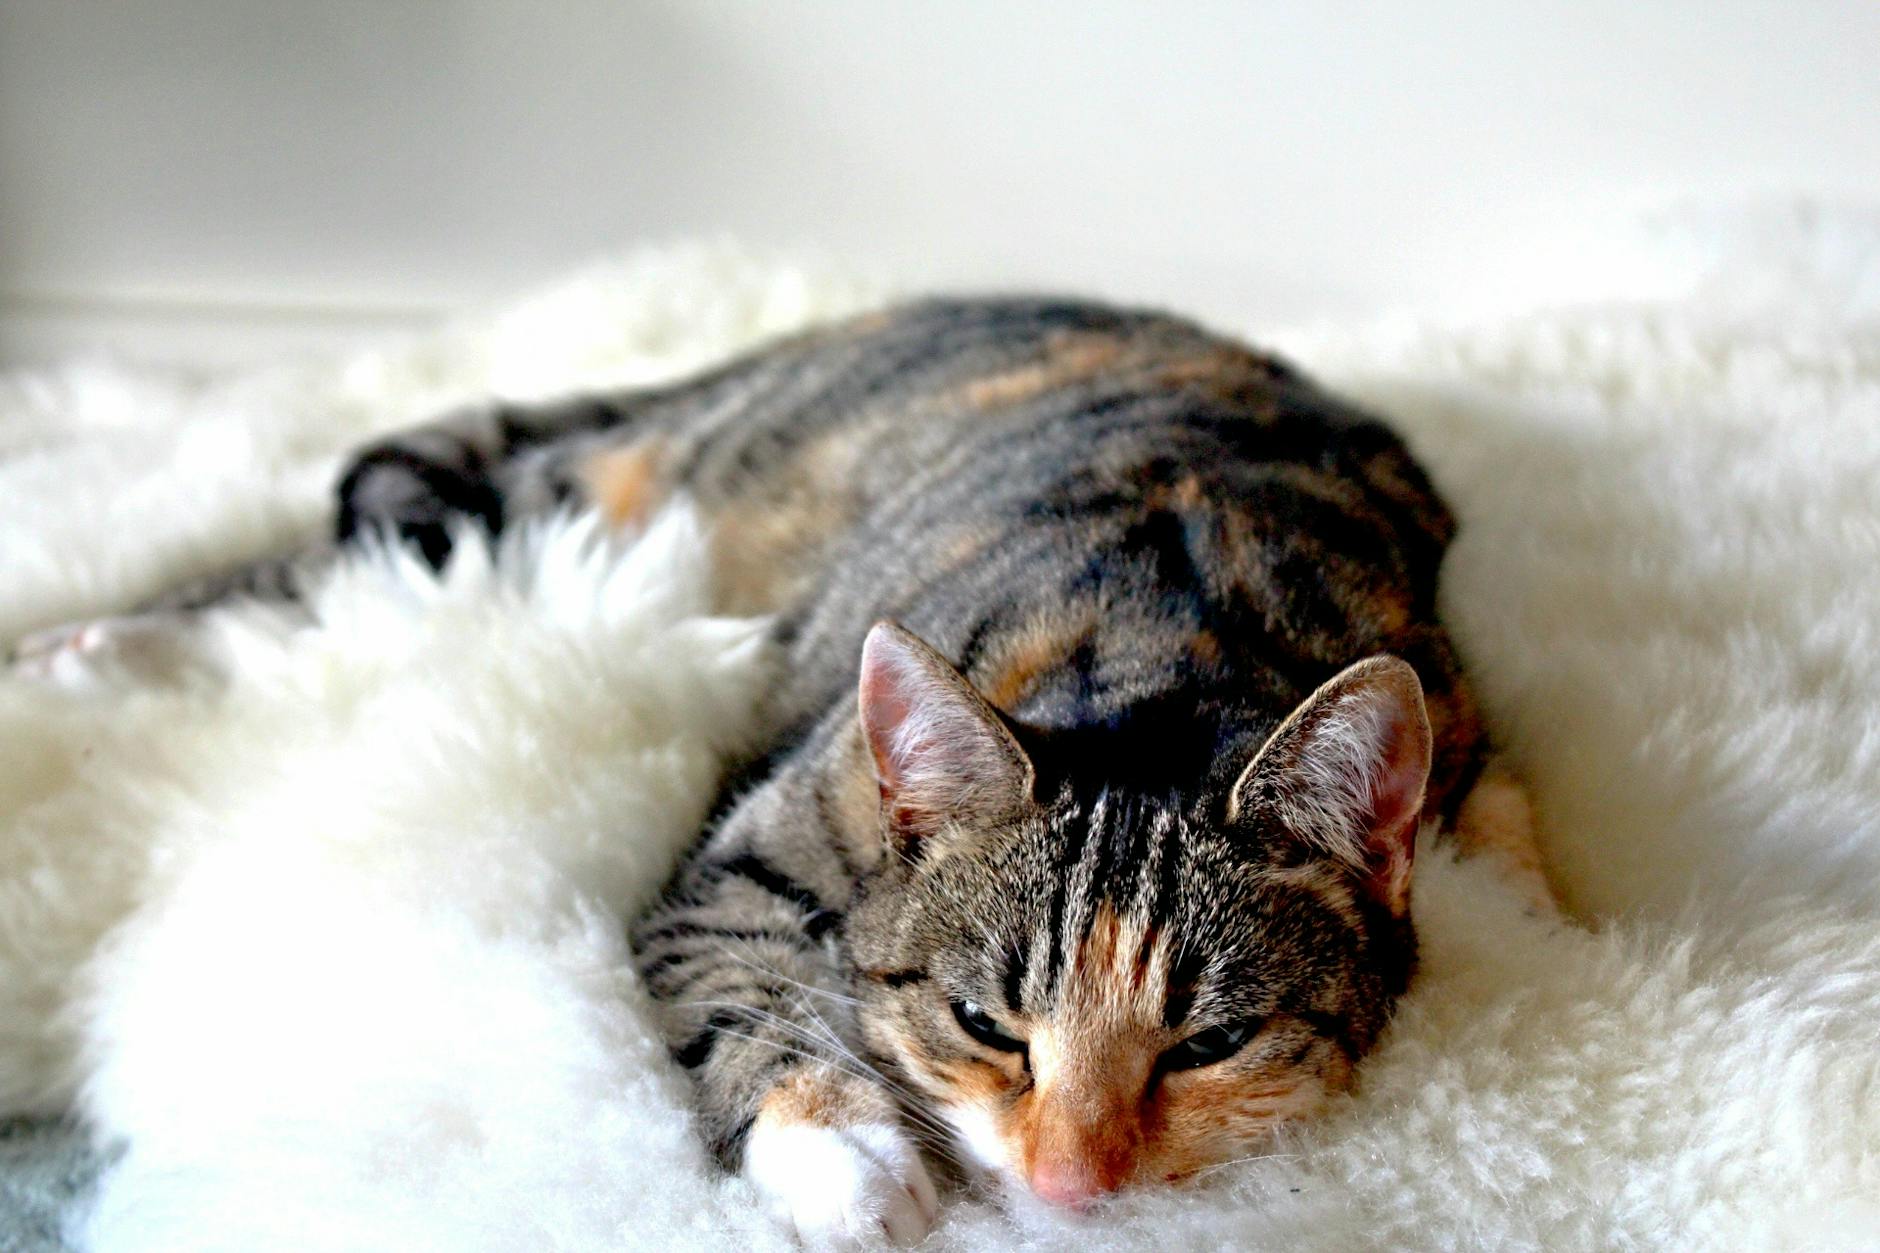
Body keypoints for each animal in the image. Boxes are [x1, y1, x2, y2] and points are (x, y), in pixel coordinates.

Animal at [11, 297, 1541, 1241]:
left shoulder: (1478, 753)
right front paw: (851, 1158)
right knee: (328, 572)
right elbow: (741, 987)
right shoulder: (750, 851)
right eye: (985, 1023)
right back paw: (85, 649)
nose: (1070, 1181)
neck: (1177, 647)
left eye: (1208, 1043)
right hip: (572, 502)